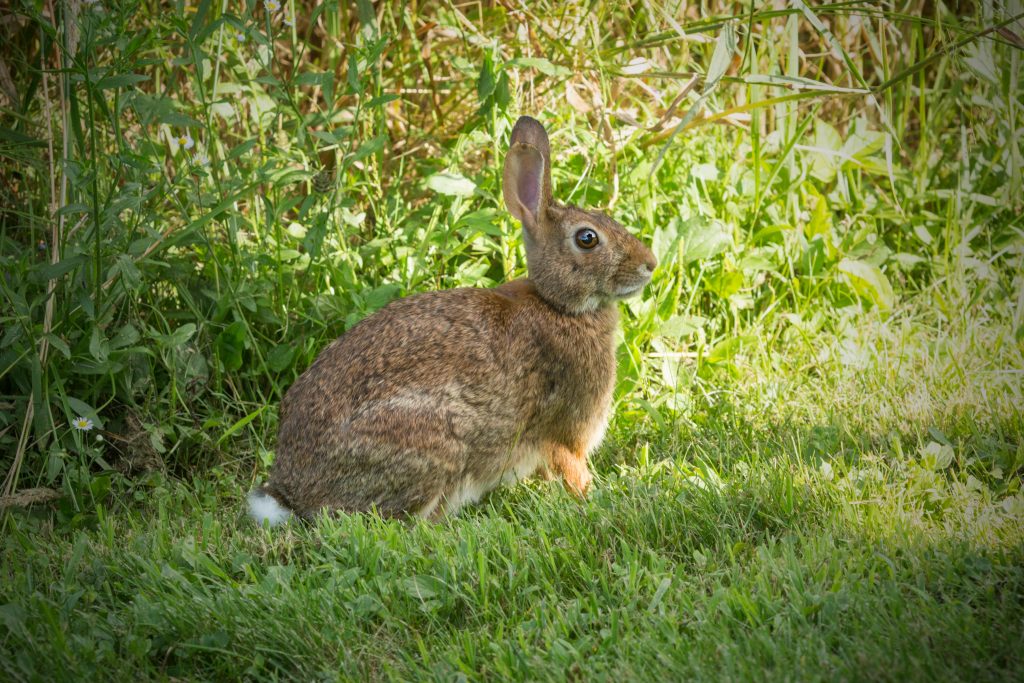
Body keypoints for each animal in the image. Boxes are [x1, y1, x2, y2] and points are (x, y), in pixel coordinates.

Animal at [247, 114, 655, 528]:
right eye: (587, 239)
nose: (650, 264)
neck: (557, 306)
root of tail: (291, 493)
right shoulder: (566, 432)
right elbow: (573, 470)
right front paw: (593, 497)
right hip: (434, 444)